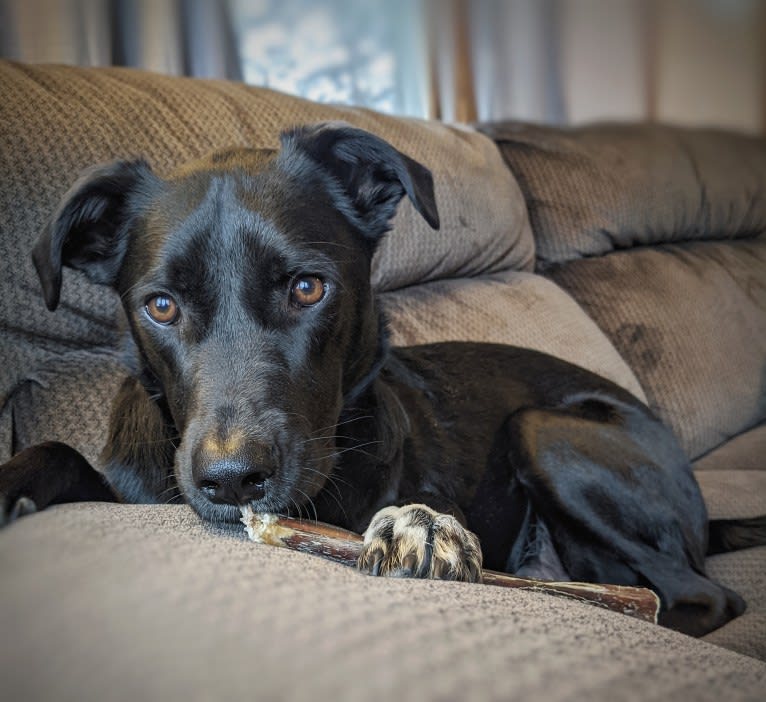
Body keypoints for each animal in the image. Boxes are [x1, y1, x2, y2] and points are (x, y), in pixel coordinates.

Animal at [1, 124, 766, 640]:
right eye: (160, 306)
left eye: (308, 288)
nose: (232, 480)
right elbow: (57, 454)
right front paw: (14, 484)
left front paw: (417, 524)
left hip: (542, 429)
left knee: (701, 598)